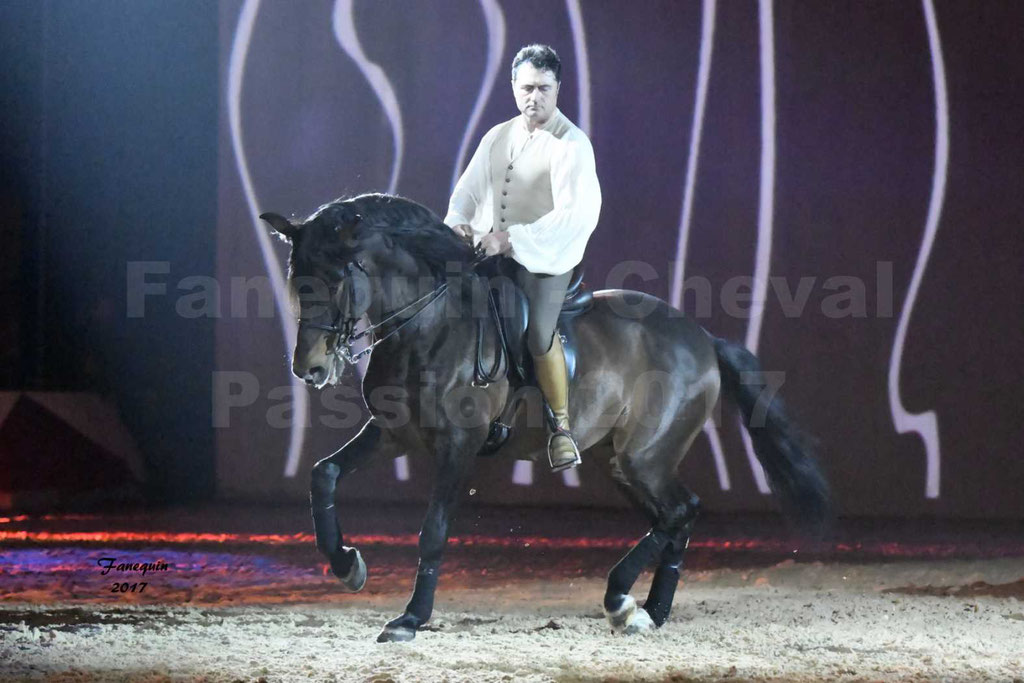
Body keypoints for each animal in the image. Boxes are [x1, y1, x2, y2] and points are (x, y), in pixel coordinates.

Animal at [260, 194, 827, 643]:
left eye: (336, 278)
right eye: (295, 279)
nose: (309, 368)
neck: (429, 322)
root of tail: (703, 339)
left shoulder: (459, 444)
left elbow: (434, 530)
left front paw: (410, 618)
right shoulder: (393, 433)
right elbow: (324, 474)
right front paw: (347, 565)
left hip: (645, 456)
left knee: (679, 511)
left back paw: (622, 600)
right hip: (621, 462)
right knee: (675, 516)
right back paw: (651, 611)